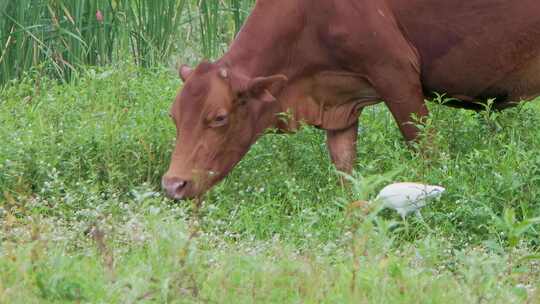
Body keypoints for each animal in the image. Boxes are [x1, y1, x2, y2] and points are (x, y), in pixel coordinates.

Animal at [161, 0, 540, 200]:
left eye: (219, 117)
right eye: (174, 117)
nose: (172, 184)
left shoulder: (396, 74)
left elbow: (427, 153)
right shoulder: (339, 108)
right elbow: (346, 171)